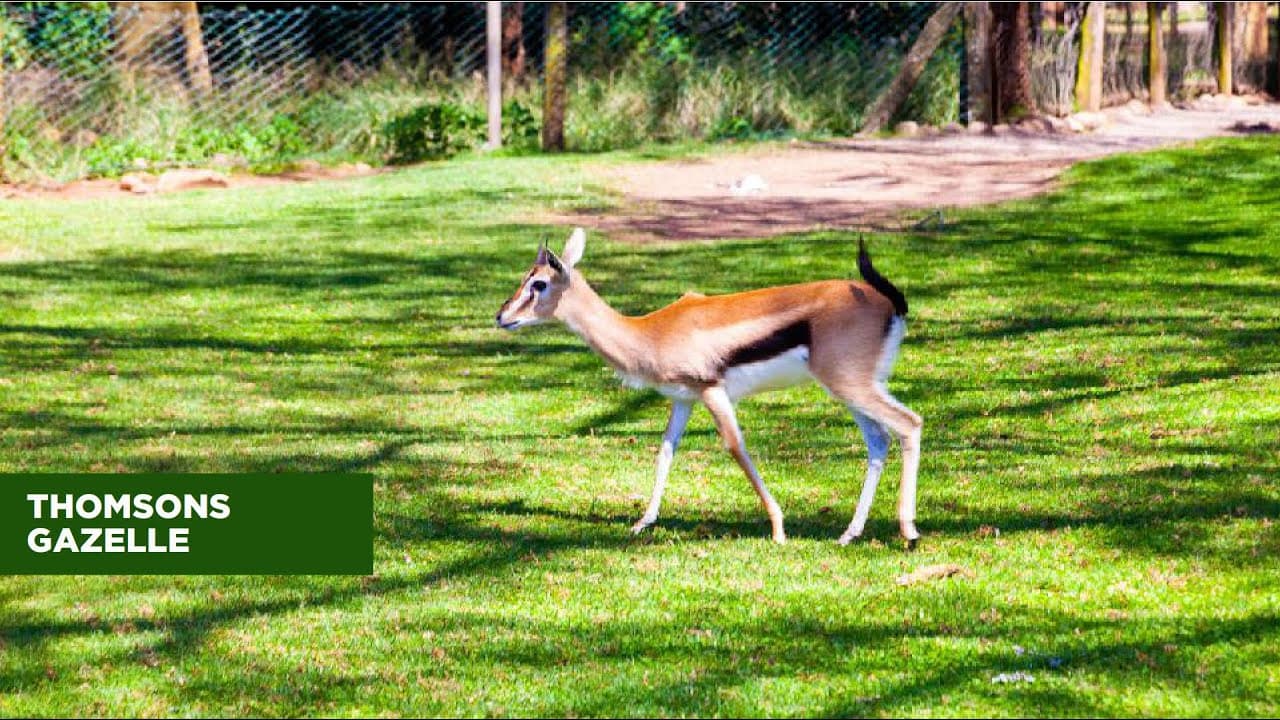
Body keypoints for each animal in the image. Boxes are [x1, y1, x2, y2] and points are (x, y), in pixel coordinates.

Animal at [495, 228, 923, 547]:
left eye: (539, 283)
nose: (501, 317)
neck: (651, 332)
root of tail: (889, 303)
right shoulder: (683, 400)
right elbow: (666, 451)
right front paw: (642, 522)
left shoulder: (712, 392)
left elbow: (736, 447)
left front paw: (778, 529)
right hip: (849, 390)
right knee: (879, 440)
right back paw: (849, 534)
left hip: (851, 385)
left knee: (910, 423)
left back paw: (909, 533)